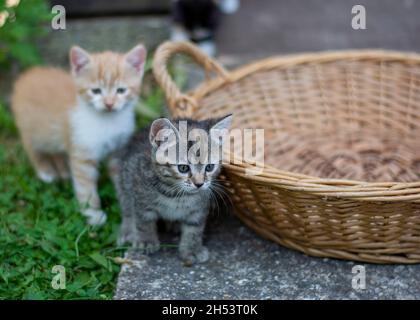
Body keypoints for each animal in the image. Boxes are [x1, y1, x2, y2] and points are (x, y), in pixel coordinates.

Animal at [12, 44, 147, 225]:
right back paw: (45, 170)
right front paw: (93, 214)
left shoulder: (118, 149)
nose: (109, 104)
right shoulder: (82, 154)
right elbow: (86, 187)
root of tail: (27, 75)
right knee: (31, 147)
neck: (108, 122)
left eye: (121, 90)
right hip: (33, 130)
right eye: (96, 91)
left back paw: (61, 168)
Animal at [116, 116, 231, 264]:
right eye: (183, 168)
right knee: (127, 208)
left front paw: (192, 249)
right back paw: (128, 232)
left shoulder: (199, 209)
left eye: (209, 167)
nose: (199, 184)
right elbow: (144, 220)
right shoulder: (140, 196)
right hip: (124, 177)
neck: (177, 195)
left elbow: (194, 228)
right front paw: (146, 241)